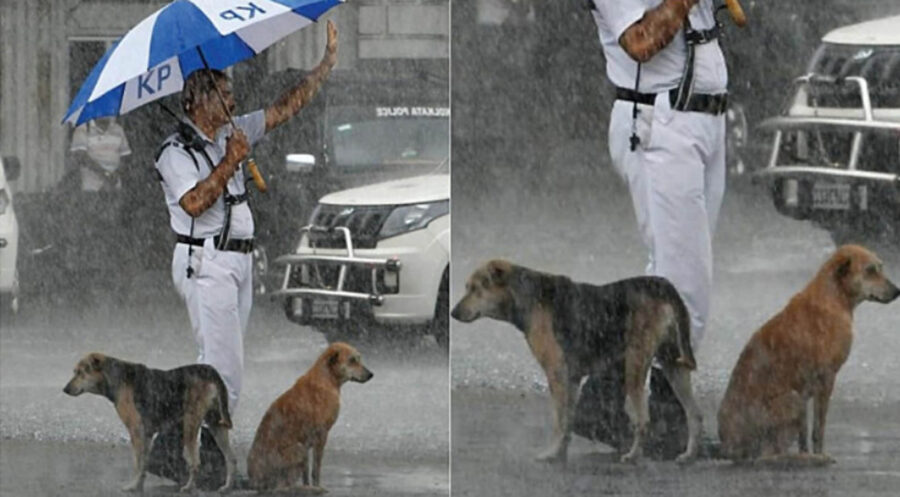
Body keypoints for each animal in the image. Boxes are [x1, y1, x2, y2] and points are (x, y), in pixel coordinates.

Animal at [64, 352, 237, 492]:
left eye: (81, 372)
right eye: (74, 372)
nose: (65, 389)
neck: (116, 377)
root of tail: (209, 370)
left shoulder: (136, 431)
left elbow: (137, 463)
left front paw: (132, 486)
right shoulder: (146, 434)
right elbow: (144, 464)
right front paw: (139, 486)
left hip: (190, 424)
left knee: (195, 462)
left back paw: (188, 488)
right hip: (216, 424)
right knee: (230, 459)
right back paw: (227, 487)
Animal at [246, 342, 372, 490]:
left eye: (359, 358)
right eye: (352, 360)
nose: (371, 374)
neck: (326, 379)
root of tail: (254, 481)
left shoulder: (307, 443)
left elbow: (306, 472)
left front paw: (308, 485)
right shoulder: (321, 435)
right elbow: (316, 469)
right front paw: (317, 486)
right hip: (298, 449)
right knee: (283, 483)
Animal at [454, 260, 700, 462]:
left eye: (476, 288)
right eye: (467, 287)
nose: (453, 313)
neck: (527, 297)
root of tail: (662, 284)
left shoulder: (556, 374)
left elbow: (559, 421)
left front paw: (550, 454)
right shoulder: (571, 379)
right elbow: (568, 421)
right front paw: (560, 453)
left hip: (635, 365)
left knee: (644, 420)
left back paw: (633, 455)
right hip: (673, 364)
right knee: (694, 414)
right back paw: (688, 455)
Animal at [716, 246, 900, 464]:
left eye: (881, 267)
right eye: (870, 270)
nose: (897, 291)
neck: (833, 297)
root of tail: (730, 448)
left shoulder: (806, 391)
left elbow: (804, 434)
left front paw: (807, 451)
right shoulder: (826, 379)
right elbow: (818, 429)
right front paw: (819, 453)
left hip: (797, 402)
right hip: (792, 400)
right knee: (768, 455)